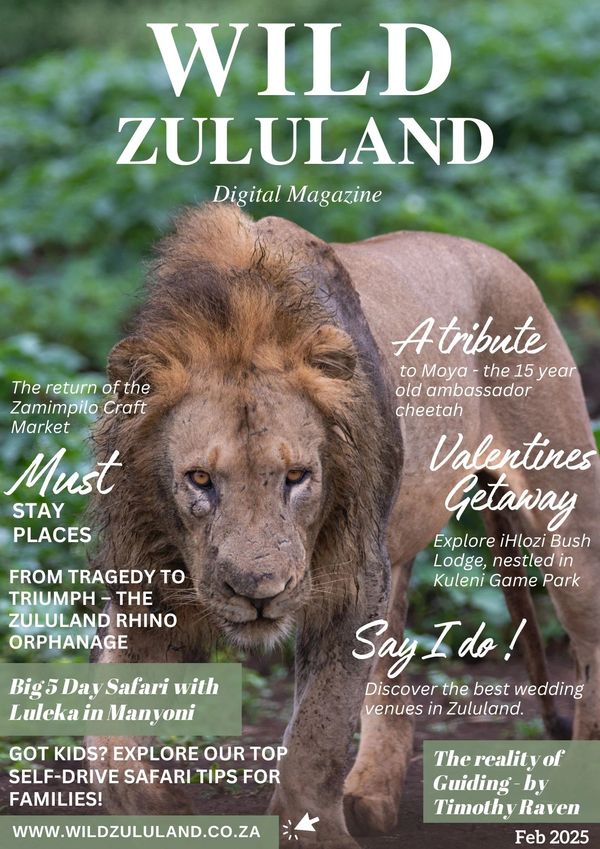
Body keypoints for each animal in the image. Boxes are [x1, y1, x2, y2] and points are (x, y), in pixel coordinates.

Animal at [87, 204, 600, 848]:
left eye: (297, 476)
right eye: (200, 479)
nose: (259, 593)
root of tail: (494, 254)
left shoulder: (351, 582)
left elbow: (317, 733)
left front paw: (314, 833)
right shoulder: (149, 589)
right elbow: (105, 739)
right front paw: (162, 810)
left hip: (564, 521)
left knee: (589, 640)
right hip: (394, 548)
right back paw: (370, 795)